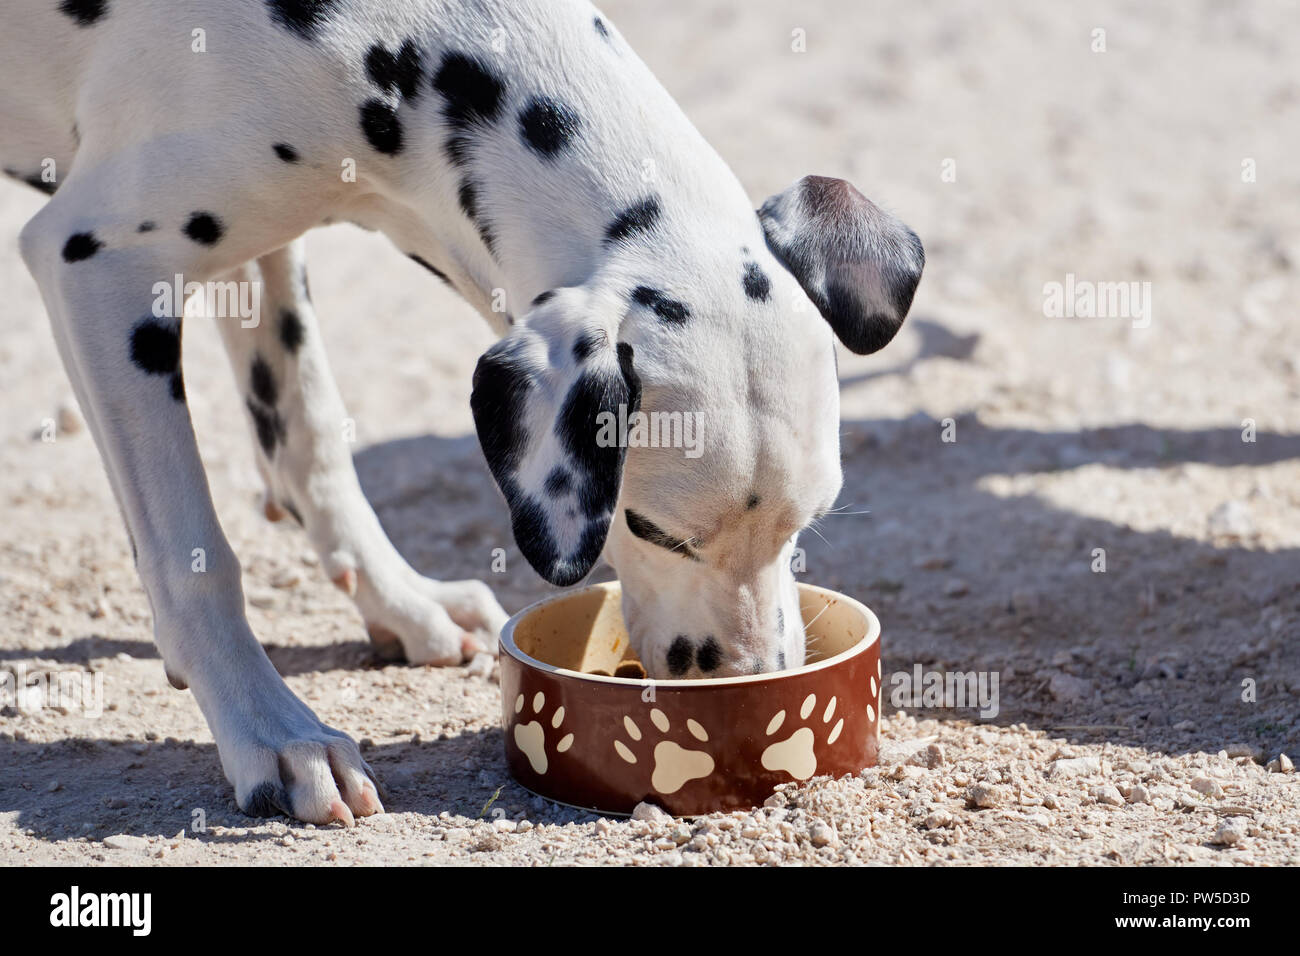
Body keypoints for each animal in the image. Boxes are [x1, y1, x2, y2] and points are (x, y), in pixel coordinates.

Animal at [0, 0, 920, 822]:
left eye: (807, 524)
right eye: (654, 531)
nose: (754, 682)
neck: (383, 44)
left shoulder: (259, 248)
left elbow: (307, 436)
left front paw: (400, 599)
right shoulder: (98, 265)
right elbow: (194, 558)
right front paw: (271, 732)